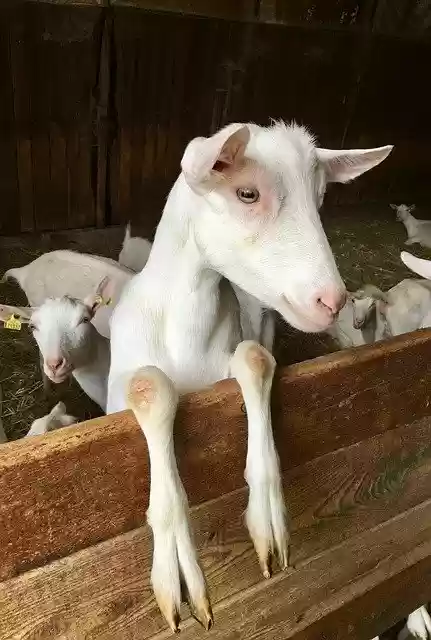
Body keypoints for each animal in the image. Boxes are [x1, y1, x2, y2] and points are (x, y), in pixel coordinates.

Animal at [106, 121, 392, 631]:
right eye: (246, 193)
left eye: (320, 197)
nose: (331, 301)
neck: (183, 329)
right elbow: (149, 383)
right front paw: (177, 569)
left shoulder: (237, 349)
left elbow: (254, 358)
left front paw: (269, 519)